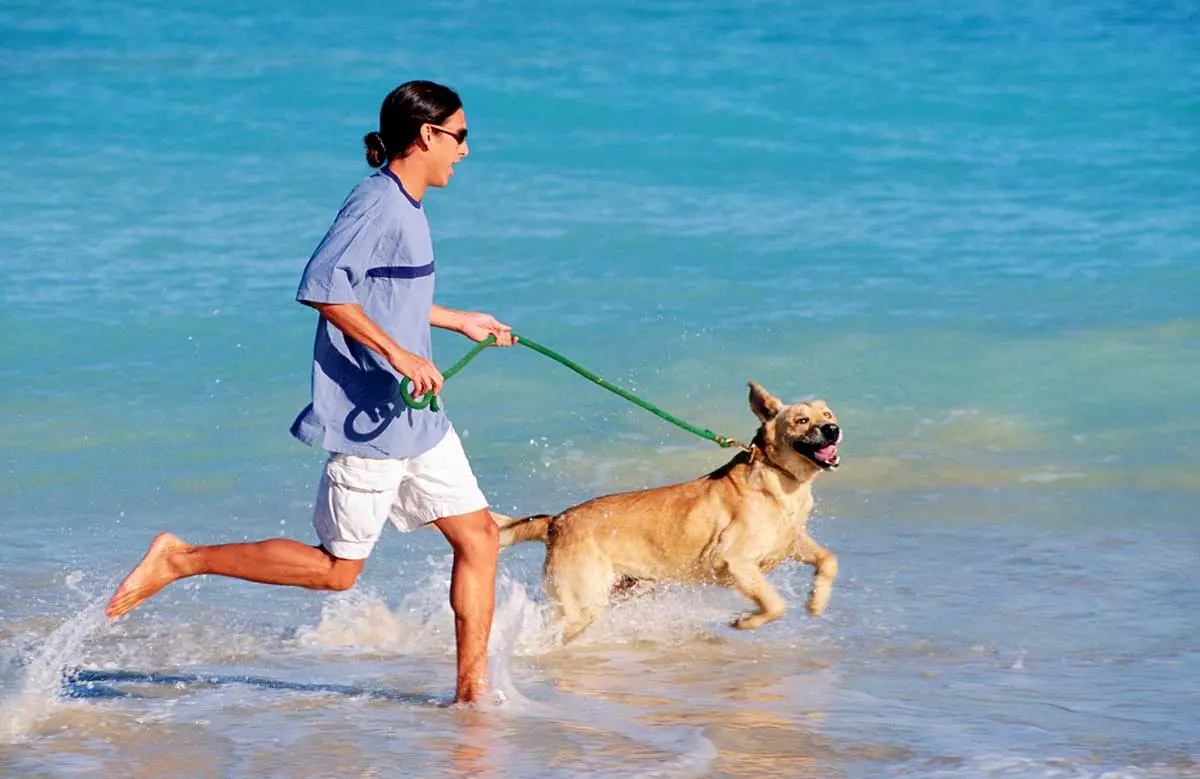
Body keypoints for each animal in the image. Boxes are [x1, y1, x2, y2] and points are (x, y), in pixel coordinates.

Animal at [492, 379, 840, 643]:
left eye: (827, 413)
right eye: (801, 420)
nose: (833, 429)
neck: (778, 475)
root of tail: (556, 522)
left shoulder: (791, 542)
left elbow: (829, 560)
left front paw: (816, 601)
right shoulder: (734, 561)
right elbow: (775, 604)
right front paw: (744, 621)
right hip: (583, 603)